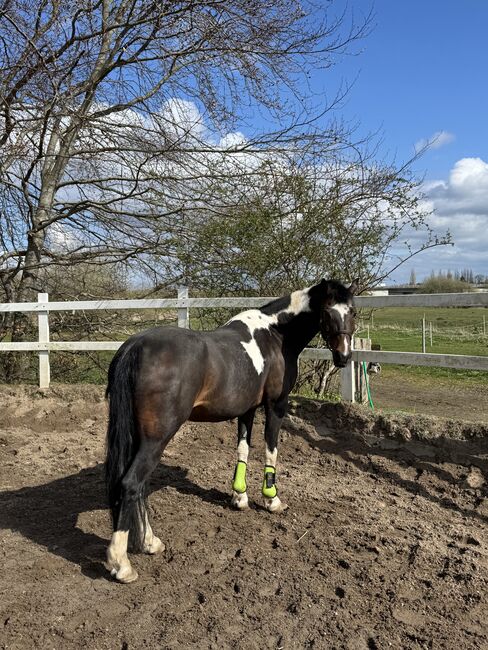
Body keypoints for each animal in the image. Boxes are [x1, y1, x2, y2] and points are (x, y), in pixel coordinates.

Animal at [105, 278, 358, 583]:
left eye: (352, 312)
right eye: (328, 312)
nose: (343, 357)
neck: (275, 334)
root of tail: (135, 345)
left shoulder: (247, 410)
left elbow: (243, 449)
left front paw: (240, 497)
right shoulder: (276, 406)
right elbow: (271, 449)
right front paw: (272, 499)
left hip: (141, 438)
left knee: (138, 486)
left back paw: (149, 542)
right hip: (157, 439)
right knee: (131, 484)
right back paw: (122, 564)